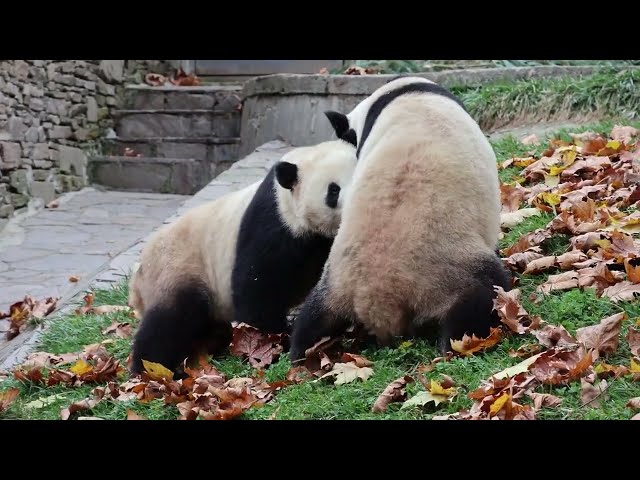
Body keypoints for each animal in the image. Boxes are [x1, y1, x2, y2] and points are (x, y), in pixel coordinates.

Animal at [129, 139, 360, 376]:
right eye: (333, 190)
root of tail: (137, 281)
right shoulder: (273, 226)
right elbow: (257, 287)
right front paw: (277, 337)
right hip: (178, 268)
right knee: (168, 322)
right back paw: (150, 370)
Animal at [288, 75, 512, 362]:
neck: (398, 92)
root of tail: (380, 303)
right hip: (445, 269)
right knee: (483, 294)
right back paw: (457, 345)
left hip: (335, 281)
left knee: (313, 318)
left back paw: (298, 353)